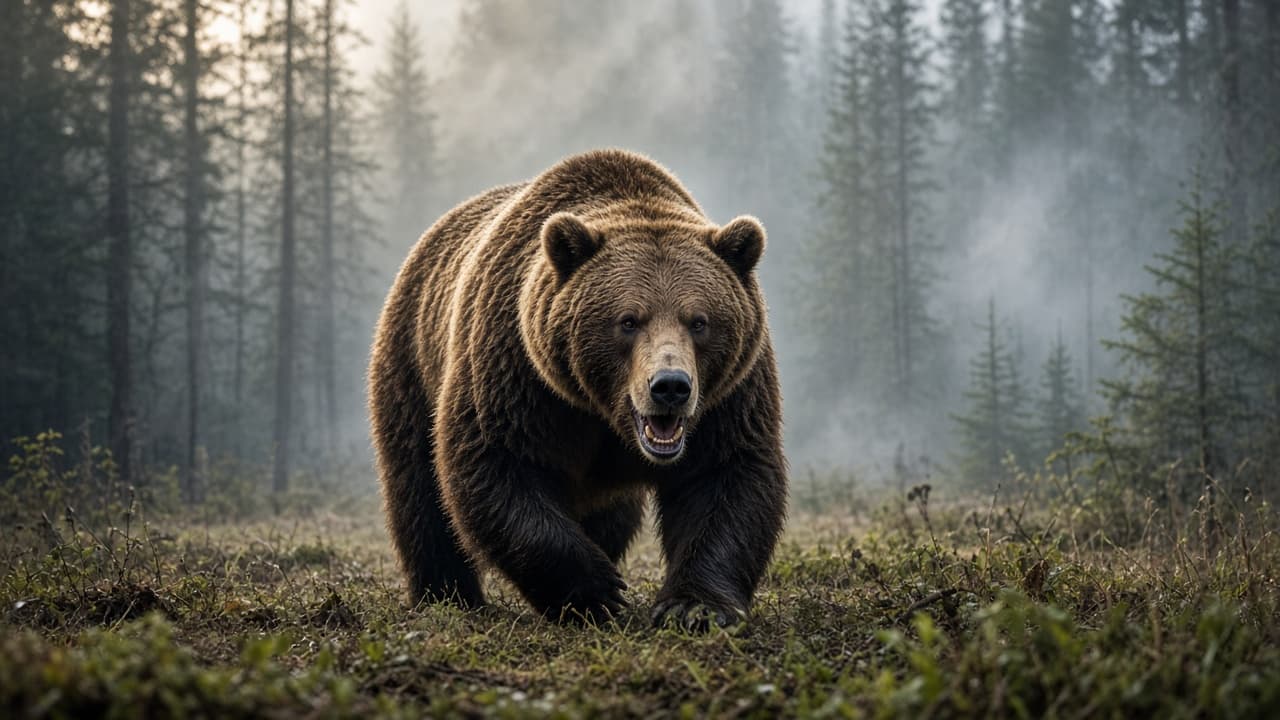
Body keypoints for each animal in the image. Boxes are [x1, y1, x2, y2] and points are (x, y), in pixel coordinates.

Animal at [368, 149, 787, 630]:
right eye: (628, 320)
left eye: (699, 321)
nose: (670, 387)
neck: (602, 410)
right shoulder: (517, 372)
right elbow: (498, 461)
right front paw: (596, 591)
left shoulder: (728, 395)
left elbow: (726, 474)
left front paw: (694, 607)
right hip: (412, 363)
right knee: (419, 491)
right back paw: (447, 594)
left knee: (613, 514)